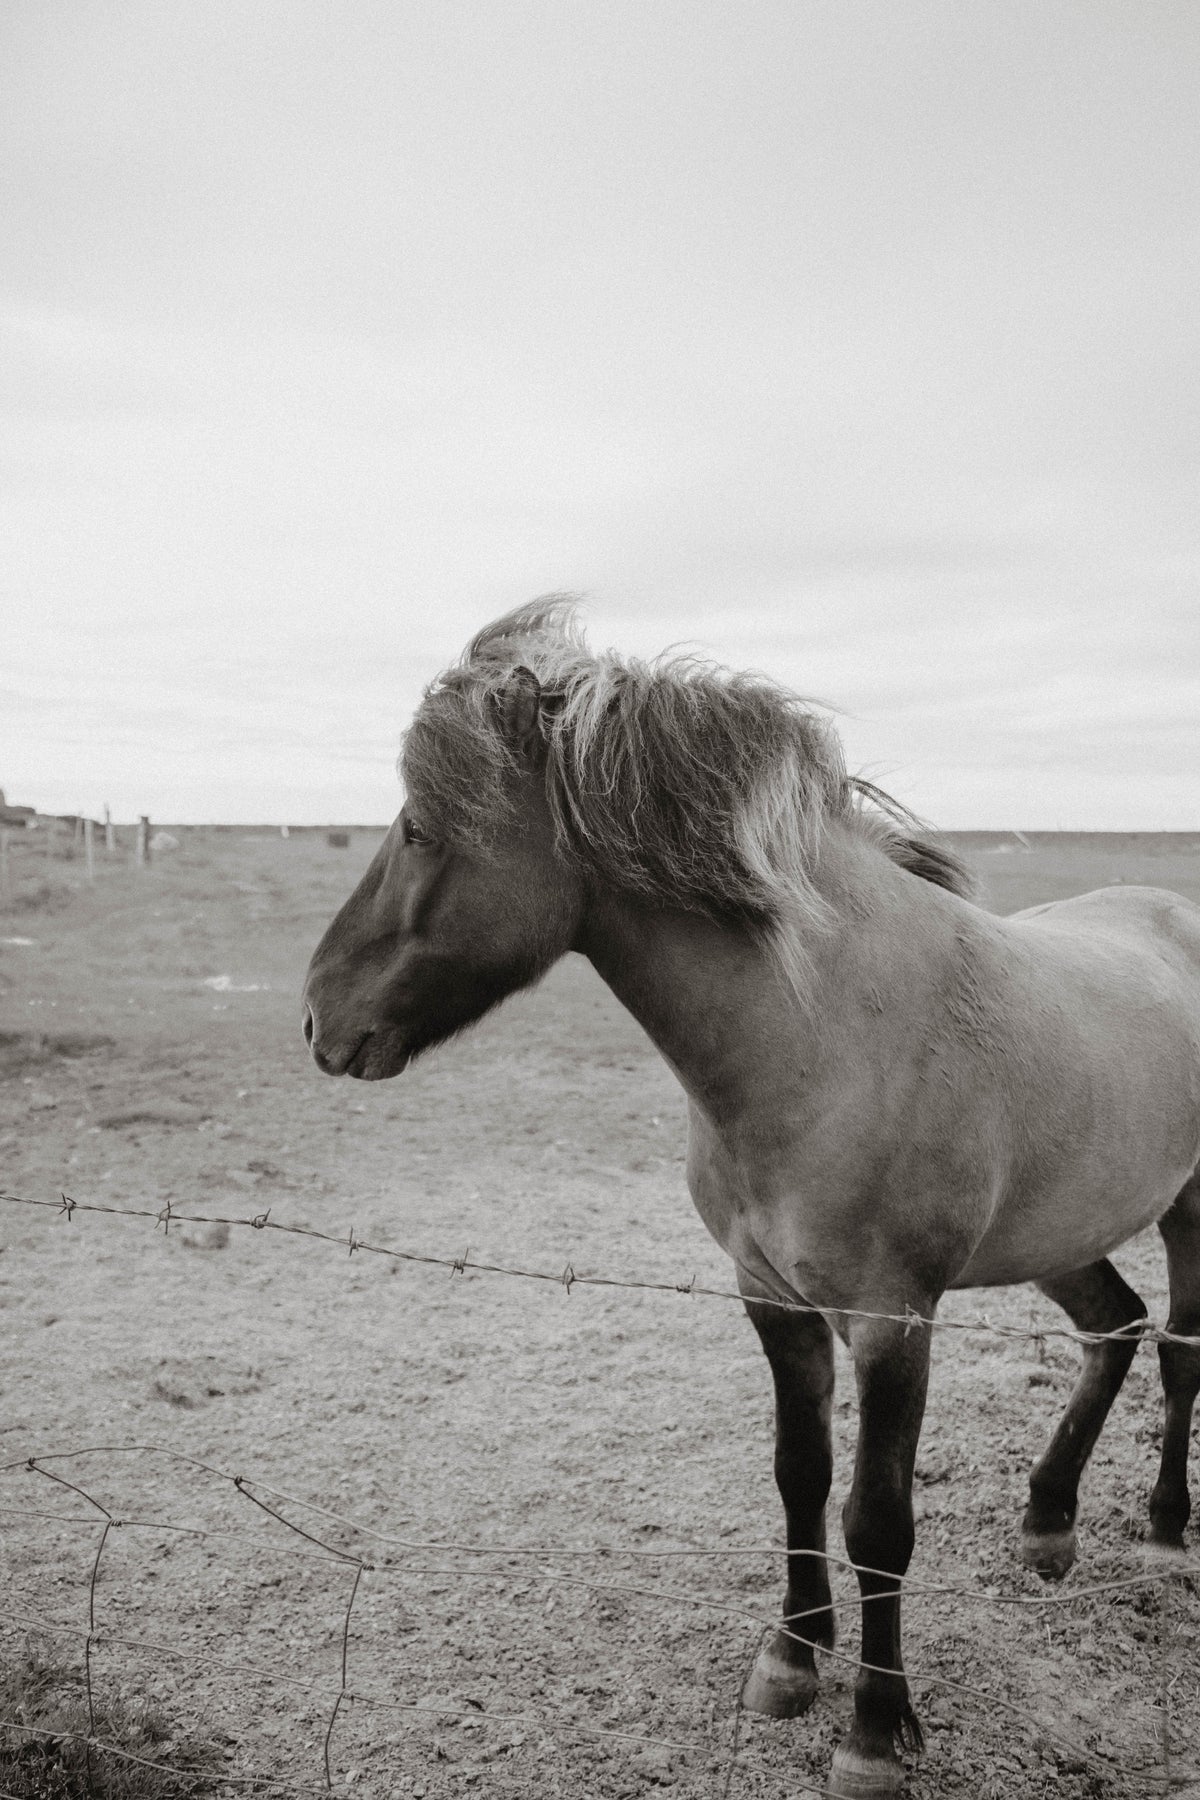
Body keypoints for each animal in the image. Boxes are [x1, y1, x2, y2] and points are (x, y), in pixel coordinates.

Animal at [303, 597, 1200, 1797]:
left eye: (415, 829)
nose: (319, 1015)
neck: (832, 1035)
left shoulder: (893, 1321)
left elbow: (878, 1520)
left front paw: (875, 1730)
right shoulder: (772, 1299)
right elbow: (798, 1476)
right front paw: (789, 1660)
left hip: (1190, 1212)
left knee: (1179, 1349)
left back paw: (1162, 1535)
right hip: (1062, 1230)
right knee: (1116, 1325)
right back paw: (1049, 1525)